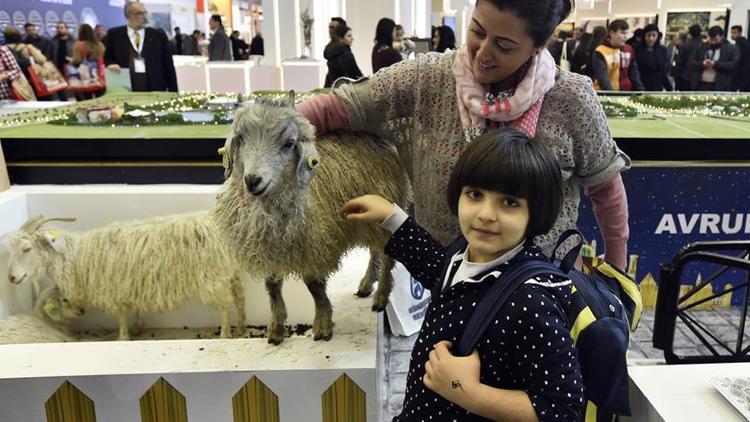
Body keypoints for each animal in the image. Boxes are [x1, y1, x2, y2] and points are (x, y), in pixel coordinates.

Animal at [6, 214, 247, 340]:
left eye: (27, 248)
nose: (11, 278)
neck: (75, 255)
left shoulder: (113, 290)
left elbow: (120, 316)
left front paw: (123, 337)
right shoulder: (133, 285)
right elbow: (136, 309)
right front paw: (138, 328)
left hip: (213, 279)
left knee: (225, 306)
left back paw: (225, 334)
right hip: (231, 273)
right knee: (239, 300)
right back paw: (241, 327)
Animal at [212, 94, 412, 344]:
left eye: (288, 143)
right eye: (241, 138)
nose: (253, 180)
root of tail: (380, 138)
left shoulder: (314, 246)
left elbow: (314, 286)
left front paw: (323, 325)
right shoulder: (270, 248)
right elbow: (272, 286)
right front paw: (276, 328)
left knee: (386, 256)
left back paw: (381, 295)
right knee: (376, 251)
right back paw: (367, 284)